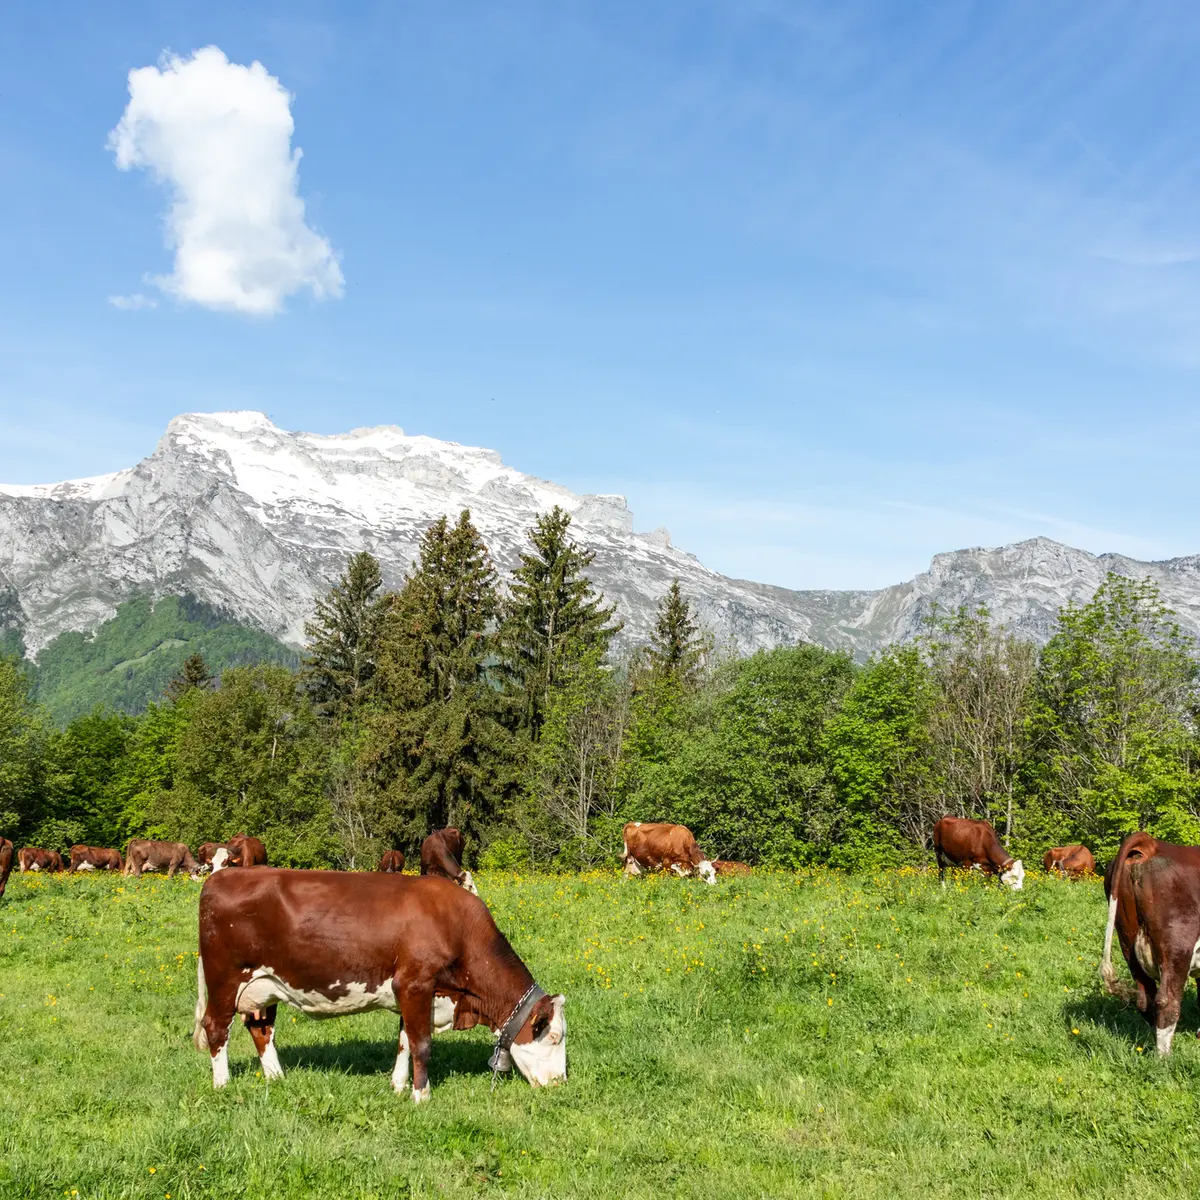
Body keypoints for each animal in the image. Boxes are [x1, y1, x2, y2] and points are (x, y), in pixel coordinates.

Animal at [193, 868, 567, 1102]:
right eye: (553, 1037)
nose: (560, 1084)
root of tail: (221, 877)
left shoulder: (415, 992)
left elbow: (404, 1042)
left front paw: (398, 1086)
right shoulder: (415, 983)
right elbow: (421, 1044)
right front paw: (421, 1095)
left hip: (265, 985)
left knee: (261, 1029)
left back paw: (276, 1078)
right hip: (225, 978)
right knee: (216, 1027)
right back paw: (222, 1085)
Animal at [1099, 832, 1200, 1054]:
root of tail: (1150, 843)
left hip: (1127, 941)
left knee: (1146, 999)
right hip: (1177, 947)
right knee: (1167, 1001)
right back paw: (1165, 1057)